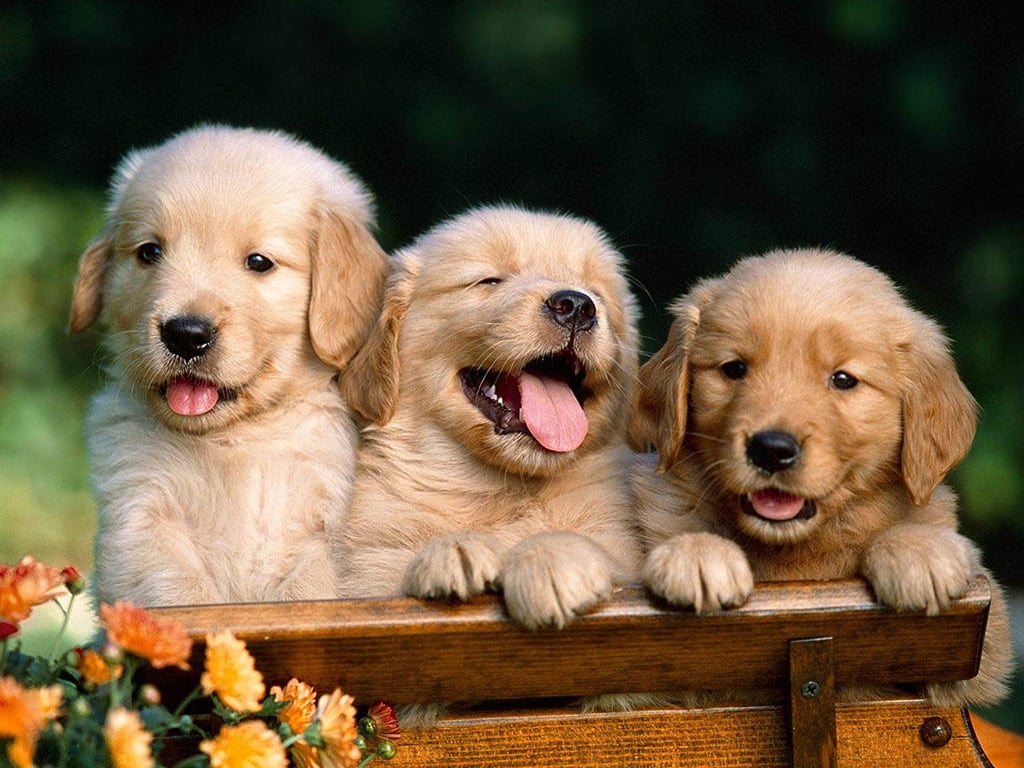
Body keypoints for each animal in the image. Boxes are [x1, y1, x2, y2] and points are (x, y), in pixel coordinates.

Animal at [69, 124, 387, 606]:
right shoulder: (141, 517)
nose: (185, 334)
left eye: (259, 262)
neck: (236, 440)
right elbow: (181, 597)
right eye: (149, 252)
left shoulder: (332, 532)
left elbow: (309, 593)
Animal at [626, 249, 1011, 708]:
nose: (771, 449)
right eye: (734, 368)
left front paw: (918, 551)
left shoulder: (982, 650)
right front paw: (697, 554)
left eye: (843, 379)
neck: (793, 557)